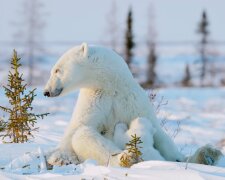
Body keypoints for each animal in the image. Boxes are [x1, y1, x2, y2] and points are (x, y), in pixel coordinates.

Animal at [43, 43, 222, 167]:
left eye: (57, 70)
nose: (46, 91)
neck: (111, 85)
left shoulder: (131, 101)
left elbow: (155, 131)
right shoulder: (95, 101)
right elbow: (77, 129)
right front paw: (62, 158)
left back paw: (207, 154)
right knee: (82, 134)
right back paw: (127, 158)